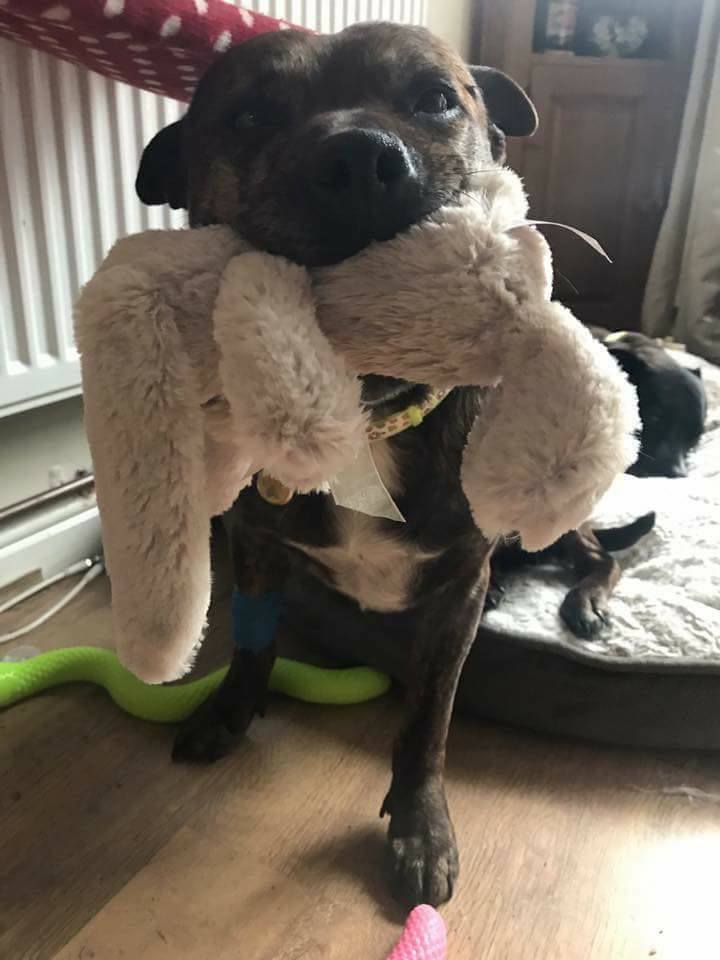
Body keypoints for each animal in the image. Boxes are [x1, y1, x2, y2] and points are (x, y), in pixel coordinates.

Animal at [135, 22, 538, 907]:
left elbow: (428, 720)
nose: (360, 157)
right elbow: (253, 644)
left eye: (436, 98)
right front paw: (231, 710)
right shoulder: (254, 545)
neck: (367, 419)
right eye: (249, 116)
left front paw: (420, 826)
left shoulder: (457, 593)